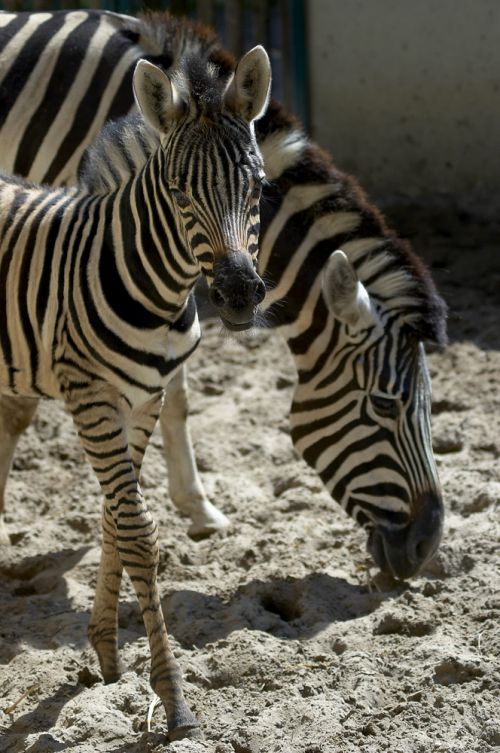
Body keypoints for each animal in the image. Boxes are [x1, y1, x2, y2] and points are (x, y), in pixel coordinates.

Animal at [0, 10, 448, 576]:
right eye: (387, 405)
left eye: (432, 406)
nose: (427, 546)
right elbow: (19, 407)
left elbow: (176, 393)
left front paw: (198, 507)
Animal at [0, 47, 272, 740]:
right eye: (178, 193)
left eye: (259, 187)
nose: (238, 294)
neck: (157, 289)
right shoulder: (91, 397)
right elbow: (139, 531)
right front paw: (173, 698)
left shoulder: (143, 399)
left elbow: (111, 521)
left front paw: (105, 653)